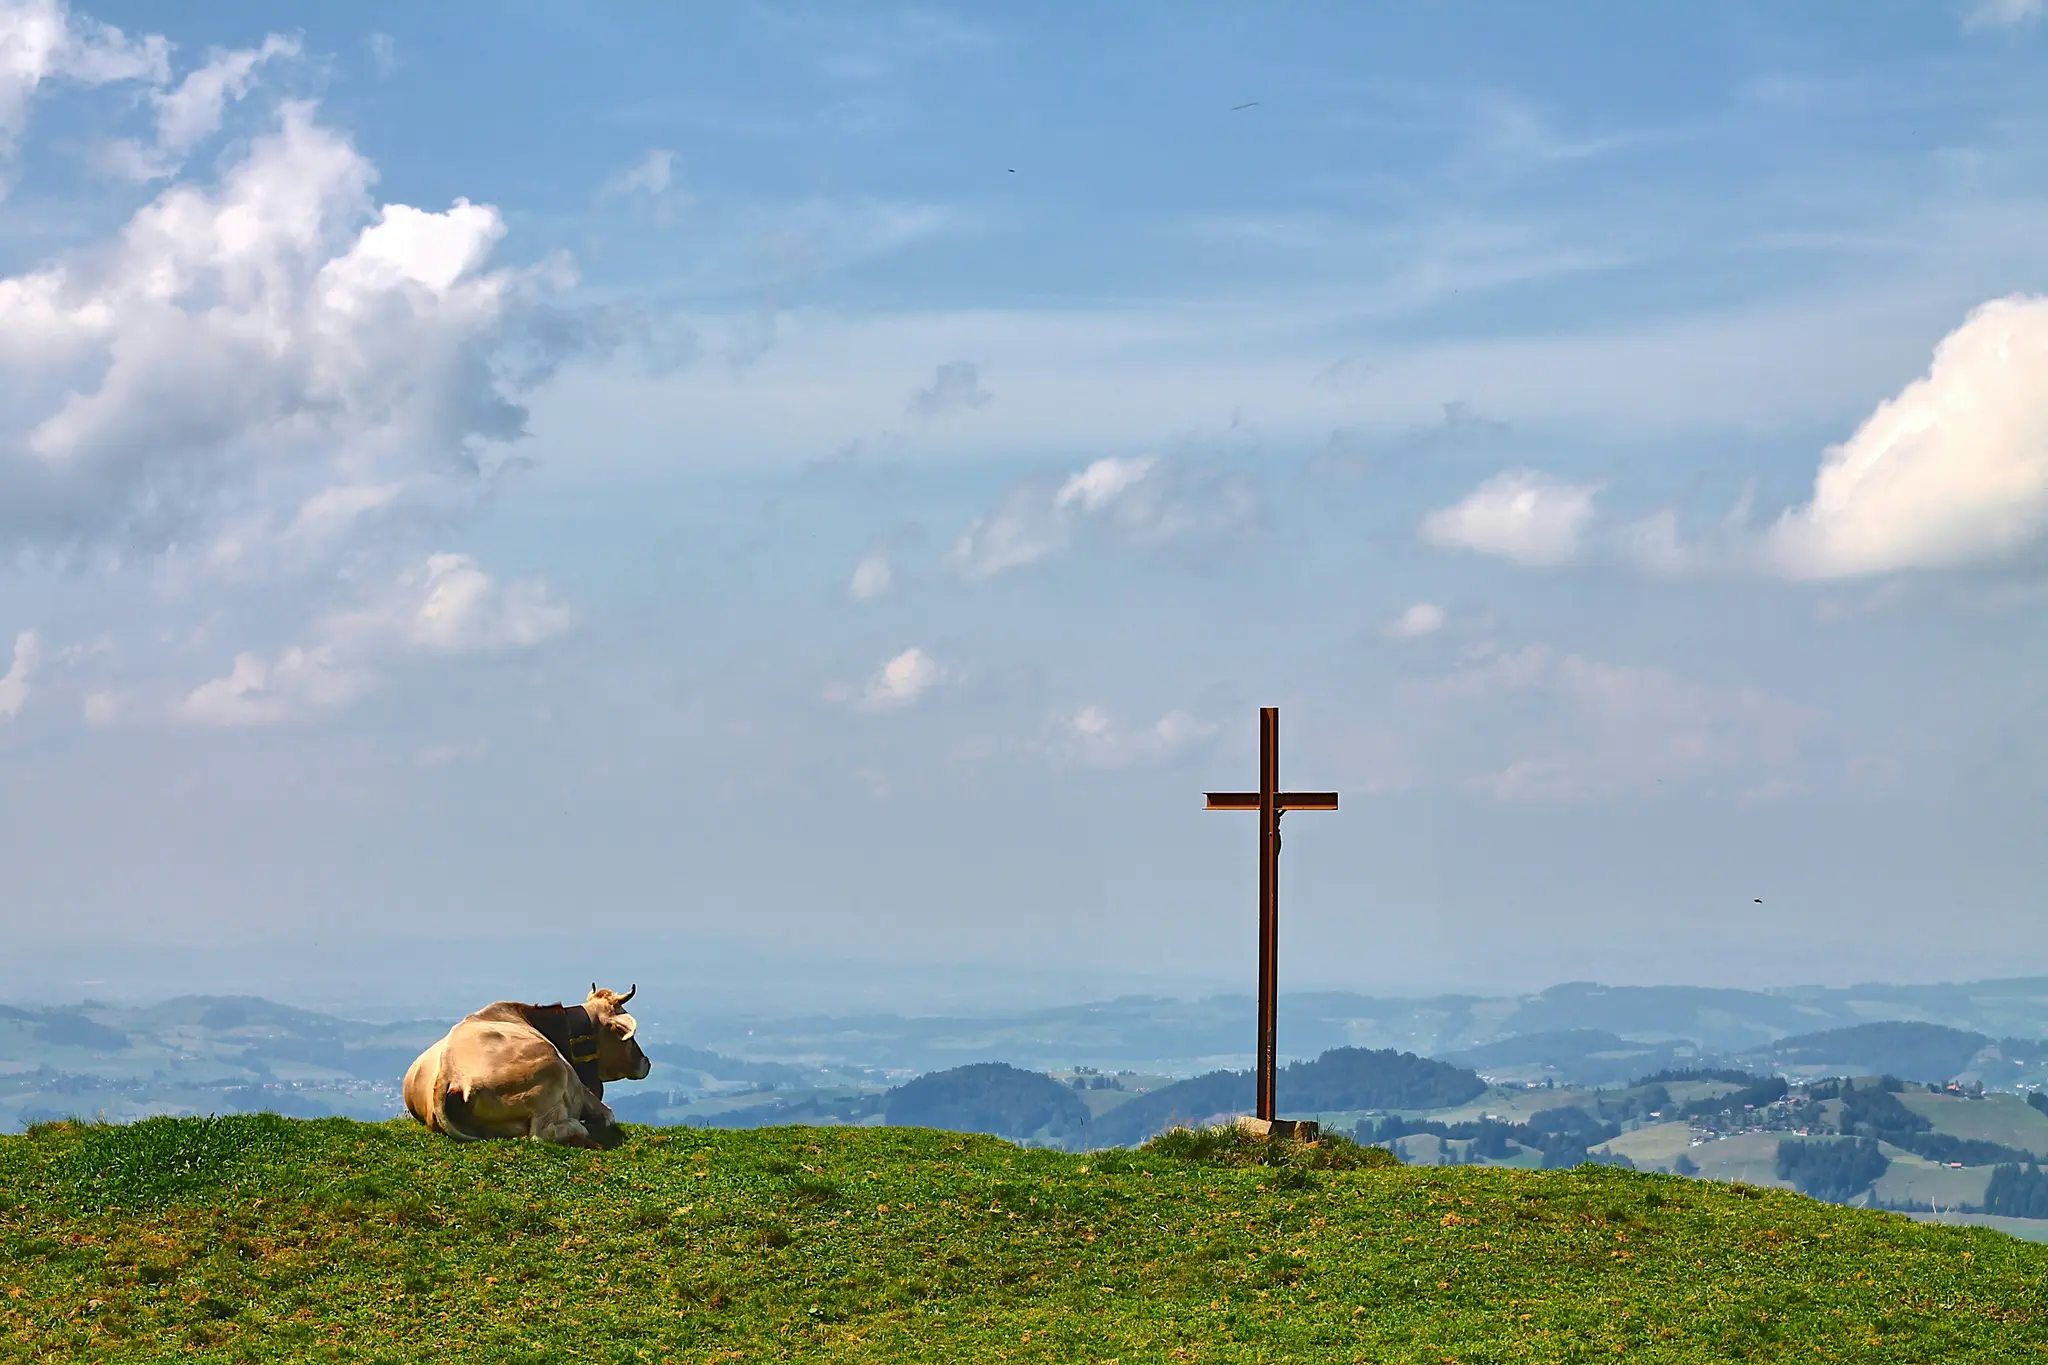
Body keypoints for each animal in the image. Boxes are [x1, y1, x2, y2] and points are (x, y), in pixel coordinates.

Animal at [404, 983, 652, 1148]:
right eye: (628, 1038)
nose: (646, 1062)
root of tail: (448, 1073)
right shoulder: (584, 1091)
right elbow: (609, 1115)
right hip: (552, 1071)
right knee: (541, 1133)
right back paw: (579, 1127)